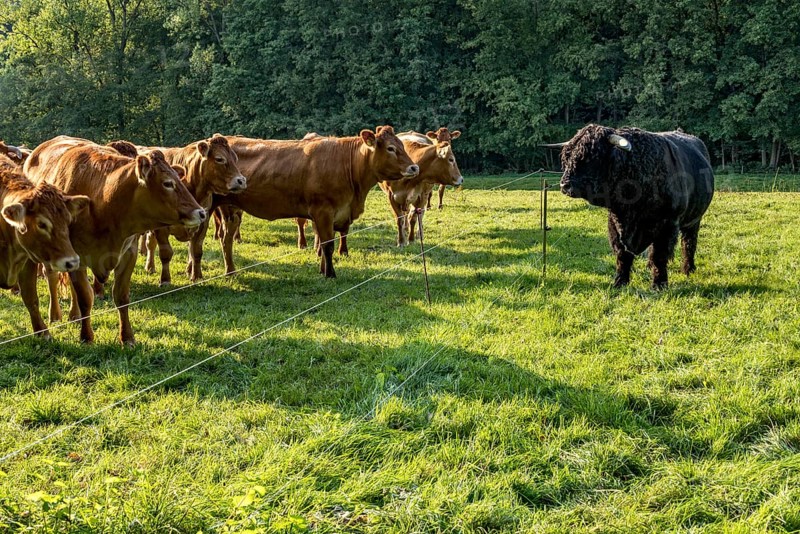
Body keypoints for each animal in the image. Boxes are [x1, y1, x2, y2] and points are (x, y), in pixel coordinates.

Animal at [0, 168, 89, 337]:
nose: (72, 261)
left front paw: (42, 331)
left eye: (68, 220)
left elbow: (31, 298)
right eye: (41, 224)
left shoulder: (27, 262)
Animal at [24, 136, 205, 345]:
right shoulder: (76, 256)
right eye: (168, 183)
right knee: (52, 278)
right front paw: (86, 336)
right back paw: (55, 315)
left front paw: (127, 337)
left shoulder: (128, 254)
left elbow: (121, 297)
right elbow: (85, 298)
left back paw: (74, 314)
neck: (103, 201)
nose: (201, 212)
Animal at [212, 126, 419, 278]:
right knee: (226, 238)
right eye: (391, 148)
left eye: (402, 144)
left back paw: (231, 271)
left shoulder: (336, 213)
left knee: (226, 238)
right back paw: (230, 271)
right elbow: (327, 245)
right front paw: (330, 274)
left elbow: (326, 242)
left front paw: (322, 270)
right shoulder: (323, 211)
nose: (414, 167)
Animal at [556, 124, 714, 289]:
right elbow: (622, 255)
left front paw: (659, 284)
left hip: (694, 220)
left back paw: (688, 269)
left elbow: (660, 255)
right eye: (568, 157)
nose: (564, 185)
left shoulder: (668, 224)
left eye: (591, 157)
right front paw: (619, 282)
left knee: (689, 244)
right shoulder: (615, 223)